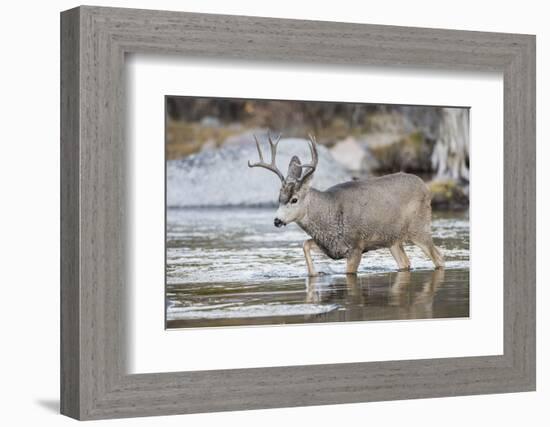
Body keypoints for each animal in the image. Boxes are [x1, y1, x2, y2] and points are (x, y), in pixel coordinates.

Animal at [248, 133, 446, 278]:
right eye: (279, 198)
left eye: (294, 199)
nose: (277, 220)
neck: (329, 212)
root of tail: (425, 187)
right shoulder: (330, 245)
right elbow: (305, 244)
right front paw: (315, 274)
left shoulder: (356, 246)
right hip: (393, 239)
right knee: (405, 263)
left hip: (419, 228)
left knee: (439, 257)